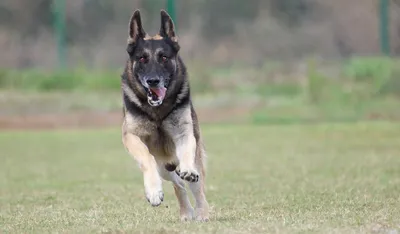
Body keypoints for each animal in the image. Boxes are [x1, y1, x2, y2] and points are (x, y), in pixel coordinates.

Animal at [119, 9, 209, 221]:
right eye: (142, 59)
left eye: (164, 58)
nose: (153, 81)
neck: (157, 112)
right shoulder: (131, 136)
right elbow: (146, 158)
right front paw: (153, 192)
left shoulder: (185, 134)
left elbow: (187, 155)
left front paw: (188, 170)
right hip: (164, 169)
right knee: (179, 185)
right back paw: (186, 212)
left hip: (193, 161)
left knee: (197, 187)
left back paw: (202, 212)